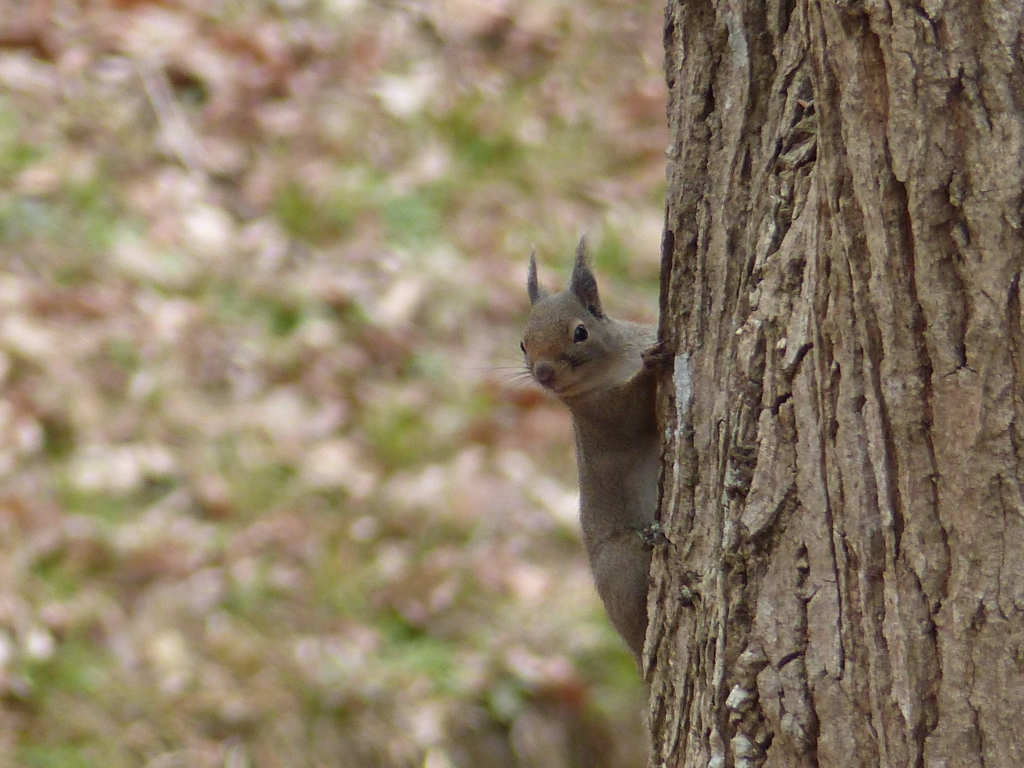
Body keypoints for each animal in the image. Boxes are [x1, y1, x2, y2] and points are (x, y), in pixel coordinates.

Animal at [524, 237, 659, 663]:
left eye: (580, 331)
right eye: (523, 344)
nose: (544, 374)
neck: (615, 362)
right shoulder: (599, 415)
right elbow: (632, 414)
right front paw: (653, 368)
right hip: (622, 565)